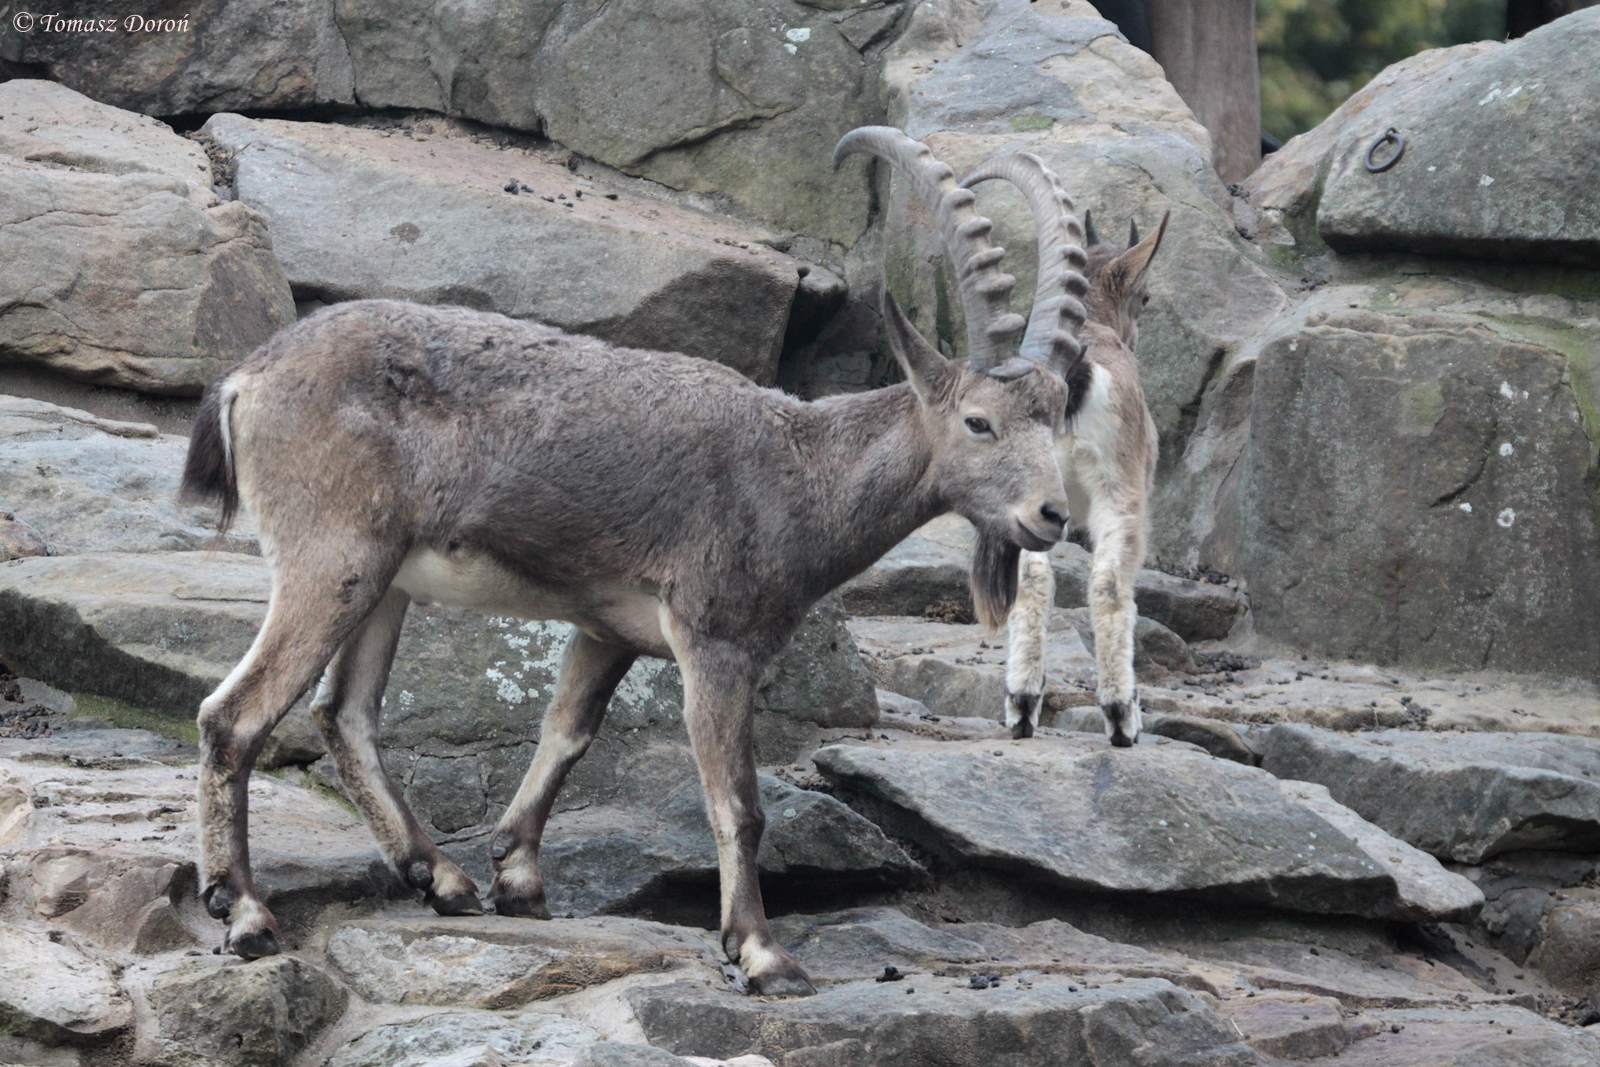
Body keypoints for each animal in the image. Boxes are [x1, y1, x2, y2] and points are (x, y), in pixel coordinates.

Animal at [177, 127, 1090, 996]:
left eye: (1058, 415)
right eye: (978, 421)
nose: (1053, 515)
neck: (800, 470)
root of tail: (248, 378)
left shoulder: (606, 629)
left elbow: (567, 732)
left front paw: (517, 875)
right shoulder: (715, 639)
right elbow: (737, 801)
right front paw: (761, 952)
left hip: (385, 576)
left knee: (346, 713)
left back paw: (441, 878)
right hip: (332, 558)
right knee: (236, 714)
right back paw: (247, 912)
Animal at [961, 155, 1168, 747]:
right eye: (1145, 297)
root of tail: (1075, 375)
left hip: (1028, 488)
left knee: (1031, 581)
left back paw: (1022, 705)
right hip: (1117, 491)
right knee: (1108, 584)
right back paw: (1122, 716)